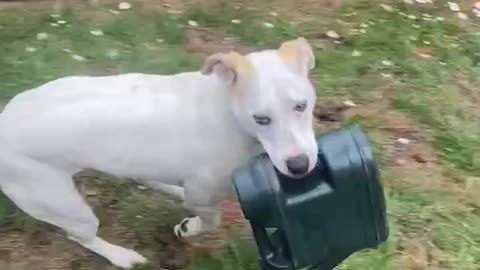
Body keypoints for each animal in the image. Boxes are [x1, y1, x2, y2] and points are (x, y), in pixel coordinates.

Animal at [0, 37, 318, 268]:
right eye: (261, 119)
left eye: (301, 106)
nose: (299, 165)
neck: (228, 111)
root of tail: (4, 123)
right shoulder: (203, 196)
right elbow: (209, 222)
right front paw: (189, 229)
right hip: (65, 207)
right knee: (83, 237)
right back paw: (122, 257)